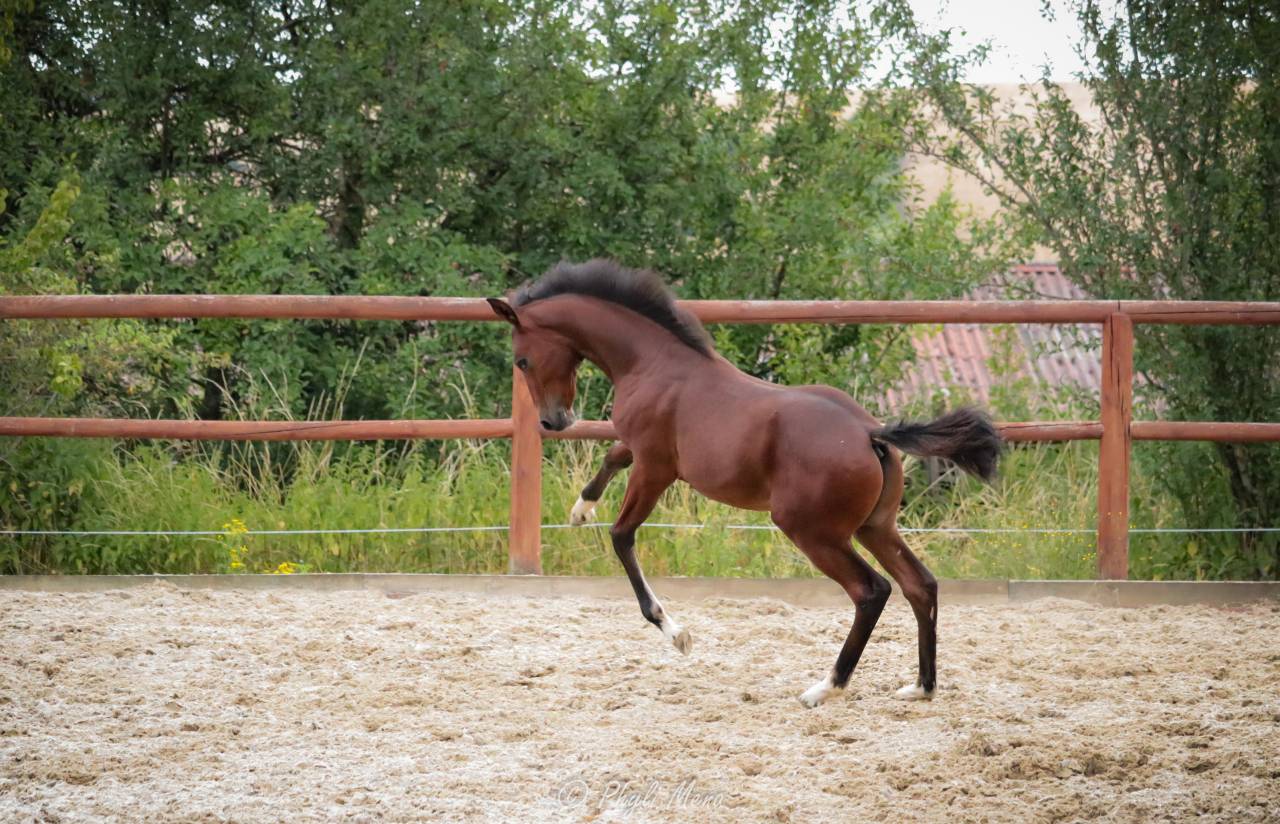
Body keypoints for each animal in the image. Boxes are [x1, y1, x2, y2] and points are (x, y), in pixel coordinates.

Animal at [487, 259, 1001, 707]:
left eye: (522, 360)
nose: (554, 421)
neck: (653, 363)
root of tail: (869, 433)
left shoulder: (656, 467)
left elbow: (622, 535)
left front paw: (676, 633)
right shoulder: (643, 452)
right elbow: (612, 455)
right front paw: (581, 508)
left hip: (811, 530)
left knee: (871, 591)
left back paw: (826, 687)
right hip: (875, 526)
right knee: (921, 585)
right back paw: (922, 687)